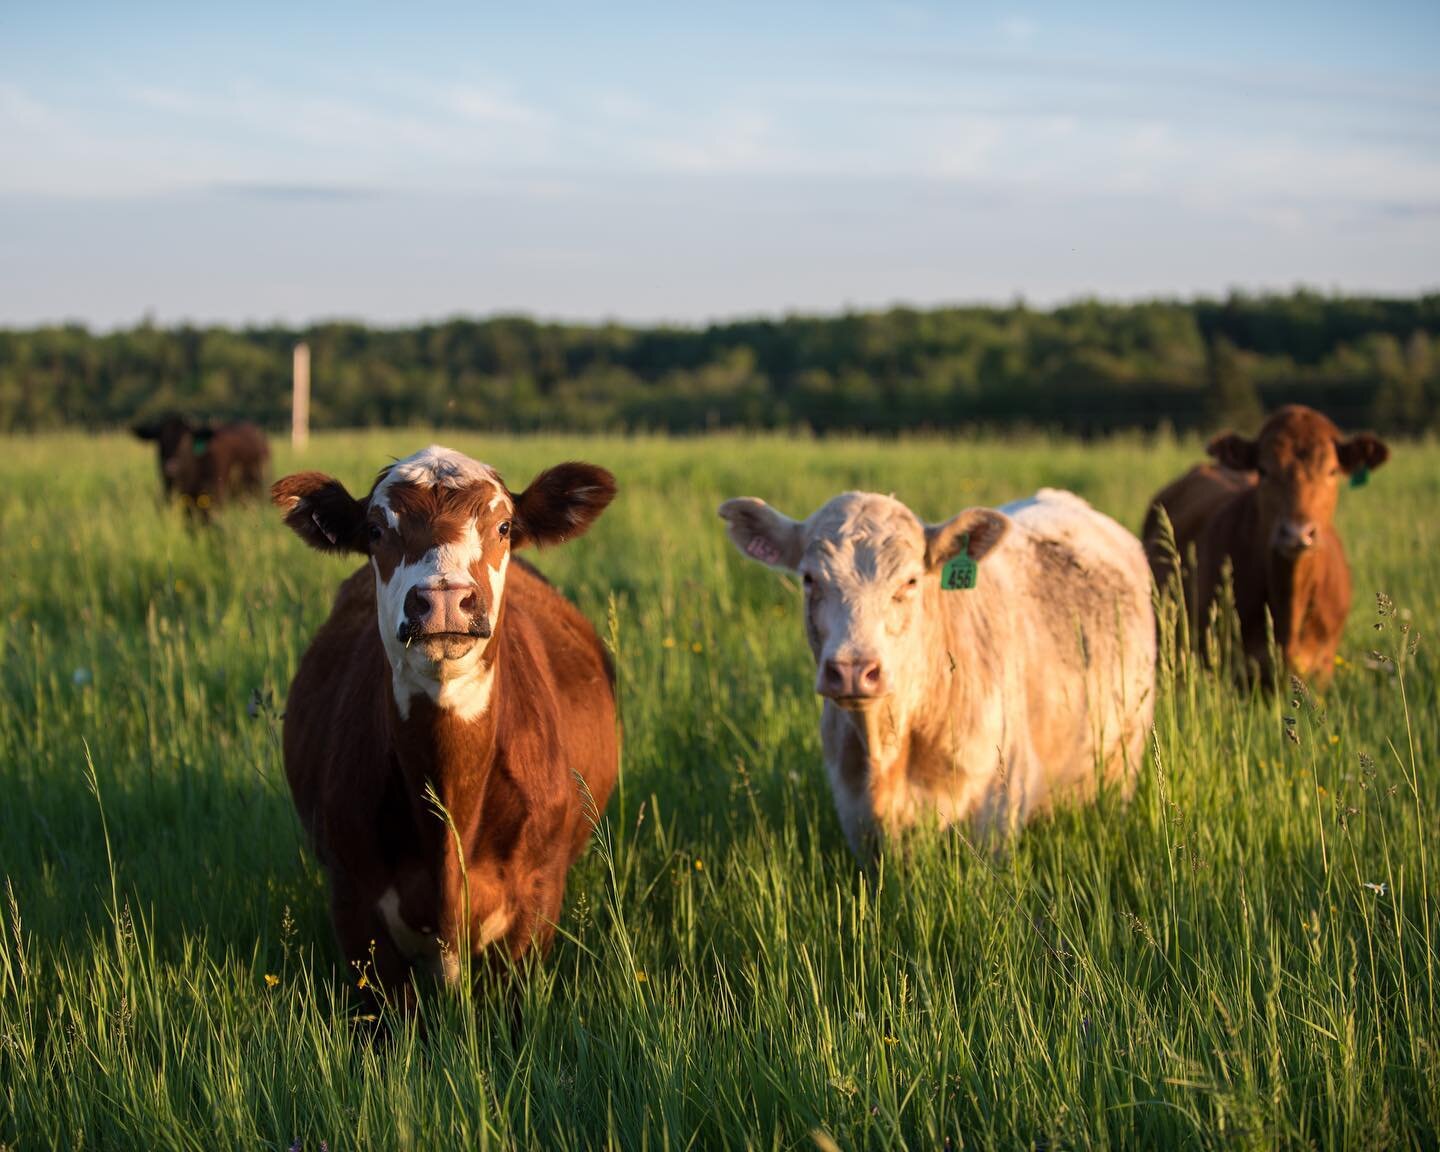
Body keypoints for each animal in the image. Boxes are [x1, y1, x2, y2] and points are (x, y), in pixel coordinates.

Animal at [720, 486, 1157, 852]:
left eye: (910, 581)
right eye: (810, 579)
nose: (852, 669)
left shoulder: (997, 814)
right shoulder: (855, 815)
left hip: (1122, 761)